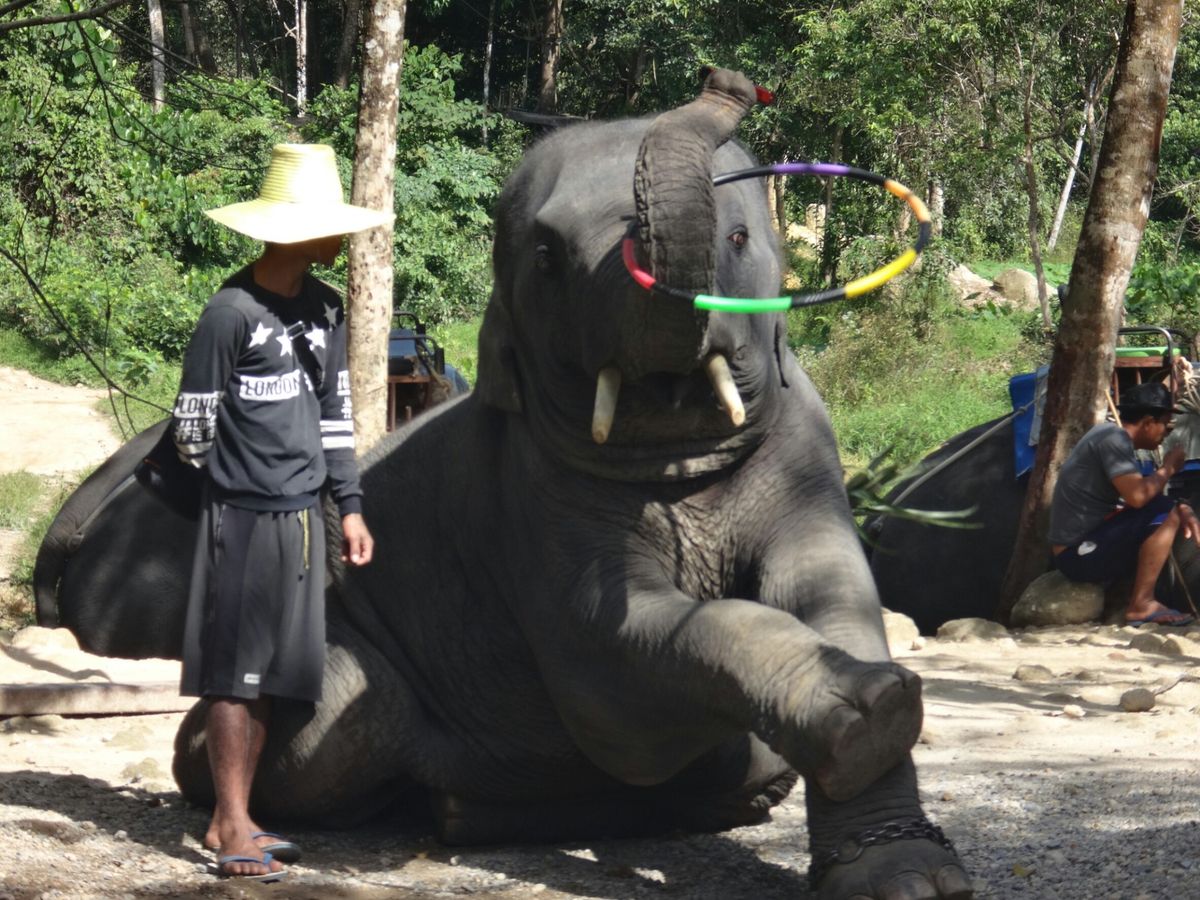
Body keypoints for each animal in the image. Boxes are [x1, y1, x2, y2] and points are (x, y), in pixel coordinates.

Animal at [35, 69, 971, 899]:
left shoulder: (804, 450)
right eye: (549, 255)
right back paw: (428, 810)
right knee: (342, 725)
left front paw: (899, 845)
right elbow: (611, 667)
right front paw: (866, 707)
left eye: (738, 241)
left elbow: (836, 591)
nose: (731, 81)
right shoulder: (523, 497)